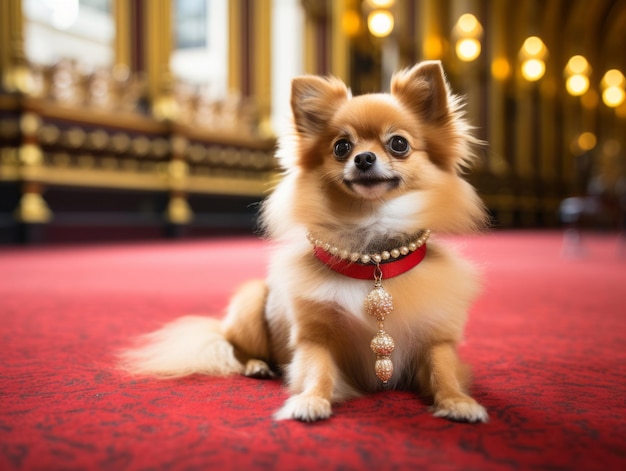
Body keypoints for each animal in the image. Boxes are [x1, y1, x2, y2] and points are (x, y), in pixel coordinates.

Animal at [122, 60, 490, 426]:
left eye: (398, 143)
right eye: (341, 147)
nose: (363, 158)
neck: (373, 255)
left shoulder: (435, 339)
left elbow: (444, 371)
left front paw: (458, 401)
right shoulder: (314, 336)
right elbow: (317, 370)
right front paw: (310, 400)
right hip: (250, 301)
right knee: (235, 349)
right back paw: (257, 365)